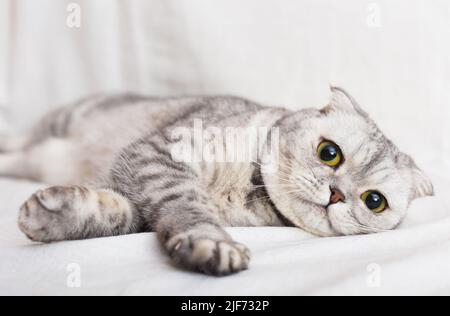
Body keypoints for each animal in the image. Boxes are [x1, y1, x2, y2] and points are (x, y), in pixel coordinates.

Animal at [1, 87, 434, 276]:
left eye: (374, 201)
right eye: (330, 153)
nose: (337, 194)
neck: (244, 191)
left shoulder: (136, 192)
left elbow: (112, 213)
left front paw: (54, 214)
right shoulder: (160, 156)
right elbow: (188, 208)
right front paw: (211, 245)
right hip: (56, 125)